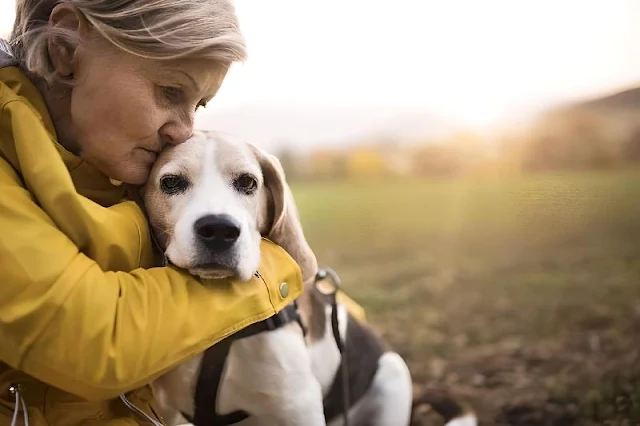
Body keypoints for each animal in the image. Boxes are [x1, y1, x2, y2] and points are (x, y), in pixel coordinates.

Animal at [144, 131, 476, 426]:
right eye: (171, 182)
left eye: (248, 182)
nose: (218, 229)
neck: (220, 322)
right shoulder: (167, 408)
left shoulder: (297, 404)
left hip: (391, 375)